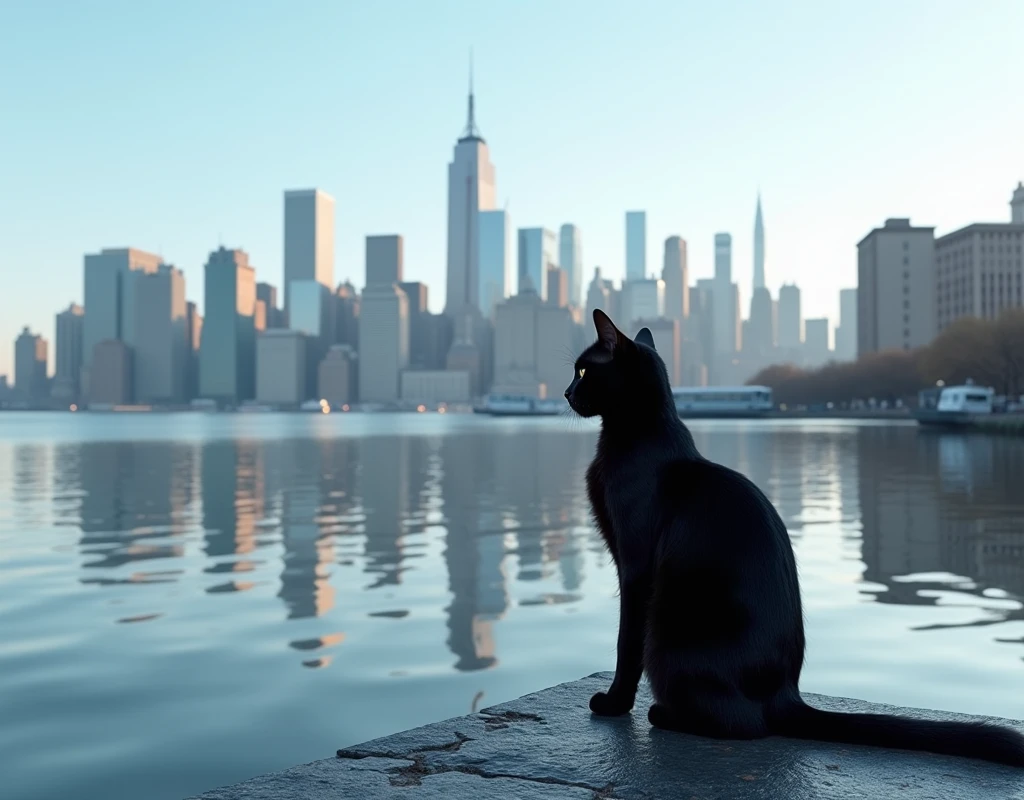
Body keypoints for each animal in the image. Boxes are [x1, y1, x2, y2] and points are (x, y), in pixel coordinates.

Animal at [565, 309, 1019, 766]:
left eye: (583, 370)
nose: (566, 392)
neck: (639, 437)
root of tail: (786, 693)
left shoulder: (635, 568)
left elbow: (626, 645)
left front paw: (614, 704)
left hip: (668, 634)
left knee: (743, 725)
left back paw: (664, 713)